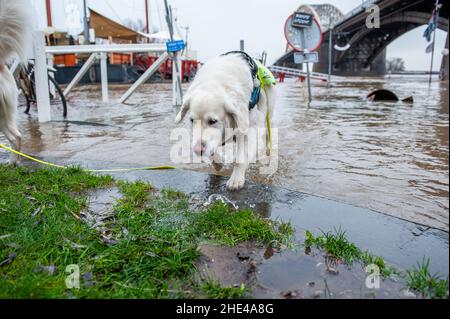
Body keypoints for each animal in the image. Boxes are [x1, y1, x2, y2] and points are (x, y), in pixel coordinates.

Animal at [175, 51, 274, 189]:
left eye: (213, 121)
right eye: (192, 120)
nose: (197, 151)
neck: (215, 81)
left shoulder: (250, 129)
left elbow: (241, 158)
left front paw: (236, 179)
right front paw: (218, 163)